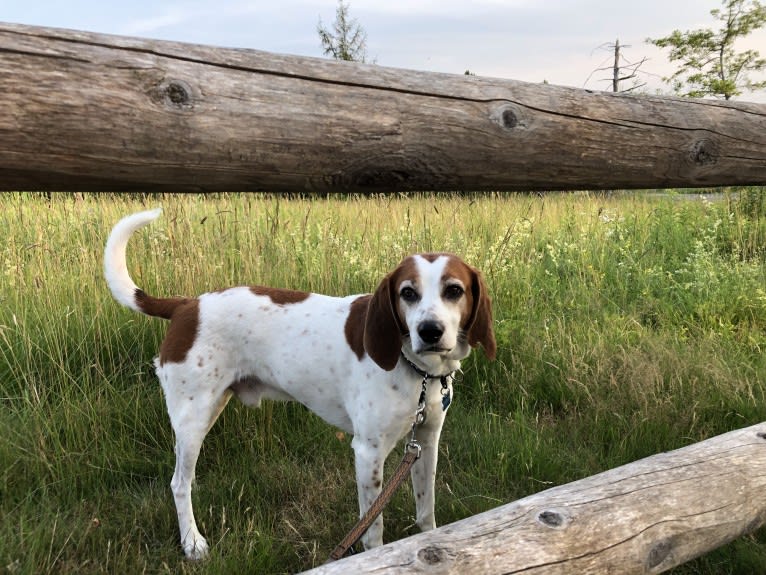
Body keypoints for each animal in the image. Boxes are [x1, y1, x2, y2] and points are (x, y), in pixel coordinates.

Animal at [103, 209, 498, 560]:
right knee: (178, 483)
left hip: (209, 408)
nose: (430, 330)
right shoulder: (368, 452)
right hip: (193, 417)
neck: (416, 371)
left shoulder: (426, 441)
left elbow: (425, 508)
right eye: (407, 293)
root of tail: (187, 306)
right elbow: (372, 528)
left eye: (454, 290)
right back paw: (192, 541)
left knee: (186, 474)